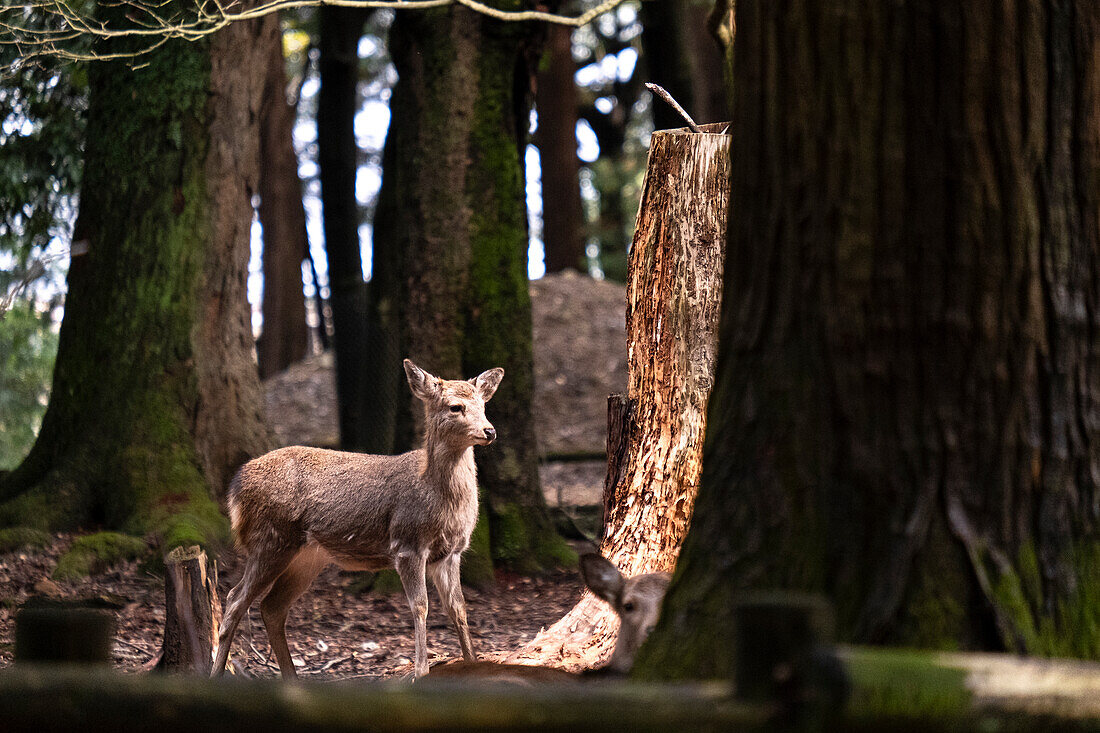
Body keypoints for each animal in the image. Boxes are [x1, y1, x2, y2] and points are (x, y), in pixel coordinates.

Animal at [210, 356, 503, 677]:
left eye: (484, 405)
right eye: (455, 407)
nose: (490, 431)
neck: (439, 498)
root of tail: (236, 487)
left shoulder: (451, 552)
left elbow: (459, 608)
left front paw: (473, 663)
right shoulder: (407, 544)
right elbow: (420, 606)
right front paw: (420, 672)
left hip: (307, 557)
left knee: (271, 607)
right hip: (270, 539)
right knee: (234, 599)